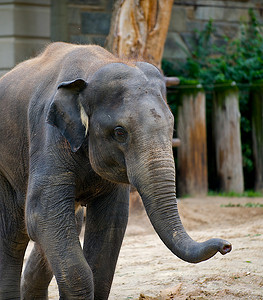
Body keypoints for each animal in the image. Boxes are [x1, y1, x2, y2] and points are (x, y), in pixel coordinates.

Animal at [0, 42, 231, 300]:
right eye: (120, 132)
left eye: (171, 127)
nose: (226, 246)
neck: (96, 67)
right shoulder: (48, 134)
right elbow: (42, 213)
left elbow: (112, 221)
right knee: (14, 233)